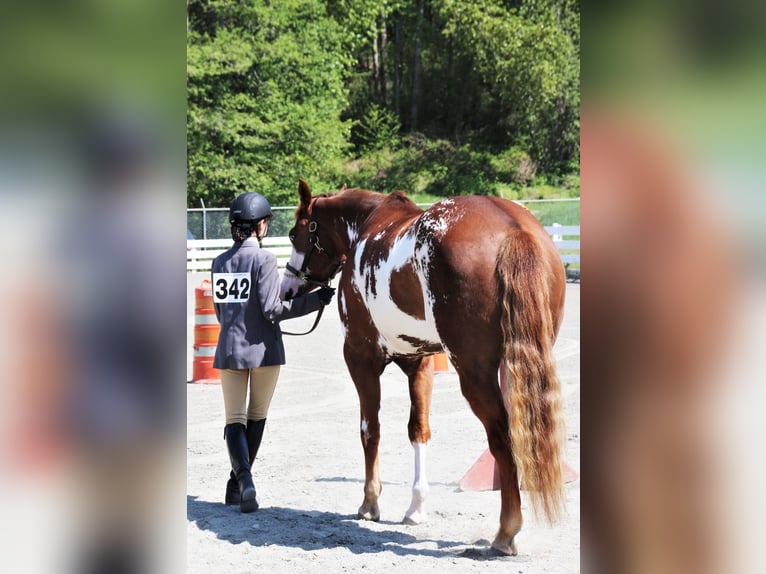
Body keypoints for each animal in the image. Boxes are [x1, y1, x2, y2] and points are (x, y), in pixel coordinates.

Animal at [279, 179, 567, 556]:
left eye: (294, 232)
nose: (288, 288)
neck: (366, 226)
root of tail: (514, 230)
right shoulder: (420, 362)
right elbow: (419, 429)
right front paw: (415, 508)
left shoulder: (359, 357)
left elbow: (370, 428)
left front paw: (370, 502)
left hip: (474, 372)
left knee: (502, 438)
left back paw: (506, 531)